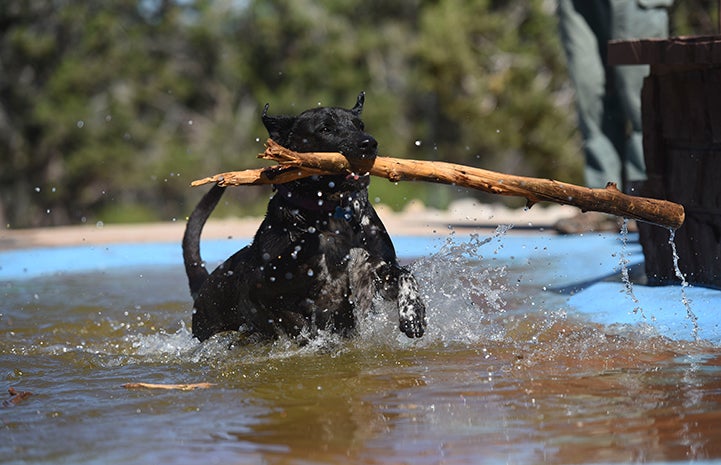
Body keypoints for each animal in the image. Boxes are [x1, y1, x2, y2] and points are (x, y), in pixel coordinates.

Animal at [183, 93, 424, 340]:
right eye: (325, 128)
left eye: (360, 125)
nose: (369, 143)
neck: (333, 212)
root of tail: (204, 286)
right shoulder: (264, 296)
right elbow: (298, 324)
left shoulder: (379, 271)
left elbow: (406, 275)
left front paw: (412, 314)